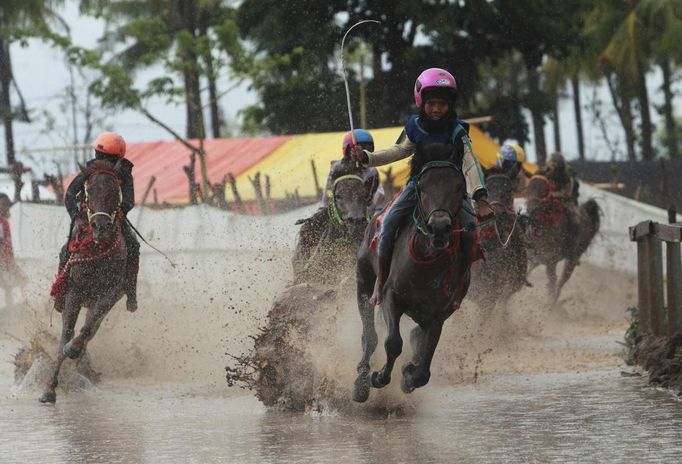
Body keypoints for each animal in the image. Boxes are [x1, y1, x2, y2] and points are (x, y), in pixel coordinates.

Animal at [39, 160, 129, 402]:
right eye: (88, 190)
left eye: (115, 190)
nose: (100, 226)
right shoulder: (74, 292)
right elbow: (66, 335)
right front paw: (49, 388)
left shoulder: (111, 292)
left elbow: (87, 329)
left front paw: (74, 350)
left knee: (91, 327)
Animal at [350, 143, 472, 400]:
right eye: (422, 187)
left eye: (459, 186)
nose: (439, 228)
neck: (427, 264)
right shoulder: (390, 295)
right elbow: (393, 342)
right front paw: (379, 377)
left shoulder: (438, 314)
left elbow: (424, 364)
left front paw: (408, 375)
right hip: (364, 280)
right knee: (370, 335)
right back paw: (362, 383)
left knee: (415, 337)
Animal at [524, 172, 596, 302]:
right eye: (527, 189)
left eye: (545, 191)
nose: (531, 207)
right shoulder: (532, 259)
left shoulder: (551, 263)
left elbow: (553, 281)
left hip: (572, 260)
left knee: (561, 282)